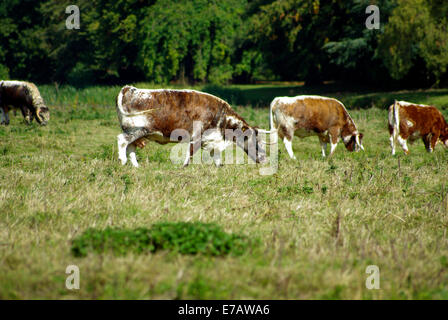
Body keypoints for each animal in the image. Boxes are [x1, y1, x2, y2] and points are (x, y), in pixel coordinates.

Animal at [115, 86, 272, 169]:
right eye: (256, 143)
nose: (265, 159)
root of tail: (129, 89)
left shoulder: (212, 140)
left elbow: (216, 158)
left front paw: (219, 168)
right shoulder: (196, 137)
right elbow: (190, 154)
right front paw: (183, 167)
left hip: (137, 133)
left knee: (131, 147)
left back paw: (136, 166)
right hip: (137, 130)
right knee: (122, 141)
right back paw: (122, 161)